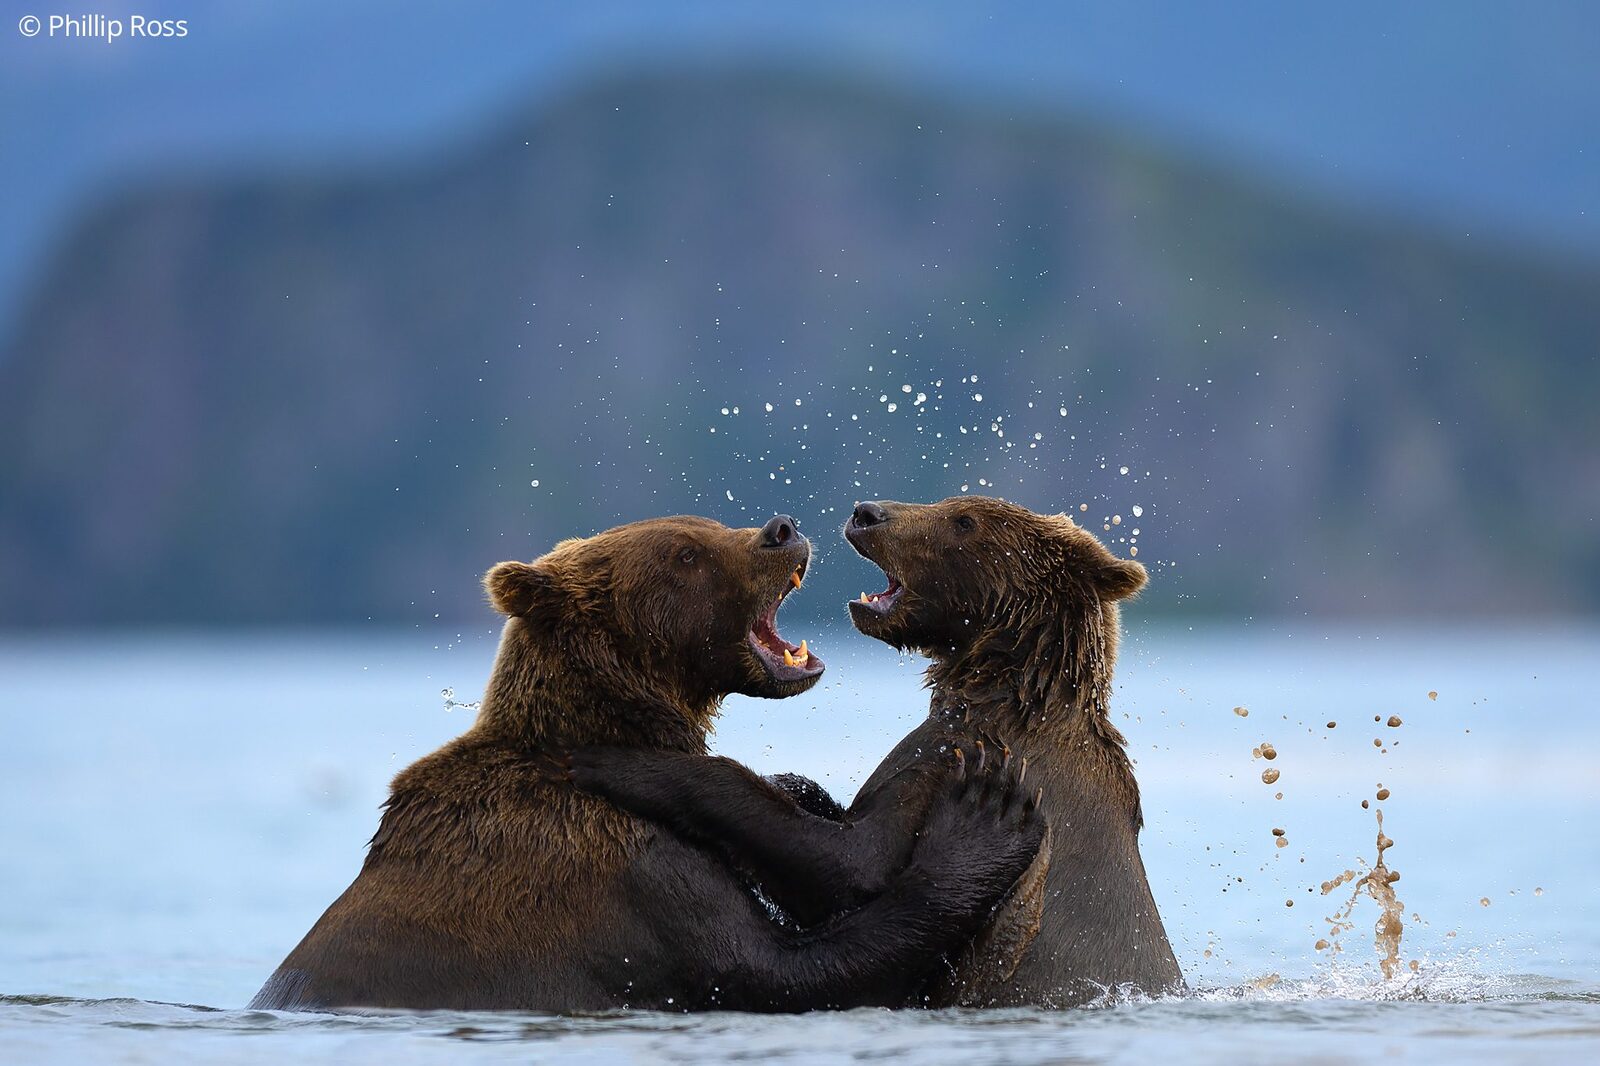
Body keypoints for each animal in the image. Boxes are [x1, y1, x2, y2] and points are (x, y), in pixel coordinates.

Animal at [249, 512, 1045, 1013]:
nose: (782, 531)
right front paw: (983, 822)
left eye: (708, 525)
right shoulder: (627, 874)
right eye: (684, 554)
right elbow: (785, 971)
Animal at [567, 497, 1183, 1008]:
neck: (1004, 686)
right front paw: (791, 781)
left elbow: (848, 864)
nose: (867, 513)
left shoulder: (971, 759)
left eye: (964, 519)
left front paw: (616, 762)